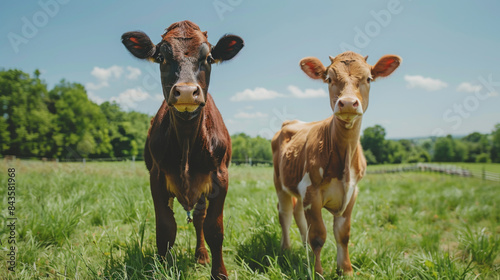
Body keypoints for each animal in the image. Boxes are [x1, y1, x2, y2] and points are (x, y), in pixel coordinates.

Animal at [123, 20, 244, 278]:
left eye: (209, 58)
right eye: (161, 57)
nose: (187, 91)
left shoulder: (220, 177)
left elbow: (214, 229)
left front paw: (219, 272)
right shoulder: (157, 177)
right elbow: (165, 229)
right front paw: (163, 268)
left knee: (199, 219)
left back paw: (201, 255)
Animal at [272, 50, 400, 276]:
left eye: (368, 78)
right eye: (329, 79)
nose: (347, 103)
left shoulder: (351, 192)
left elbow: (342, 234)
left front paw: (346, 270)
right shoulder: (311, 192)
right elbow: (318, 236)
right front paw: (317, 272)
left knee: (298, 215)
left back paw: (303, 249)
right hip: (280, 184)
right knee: (285, 214)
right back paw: (286, 249)